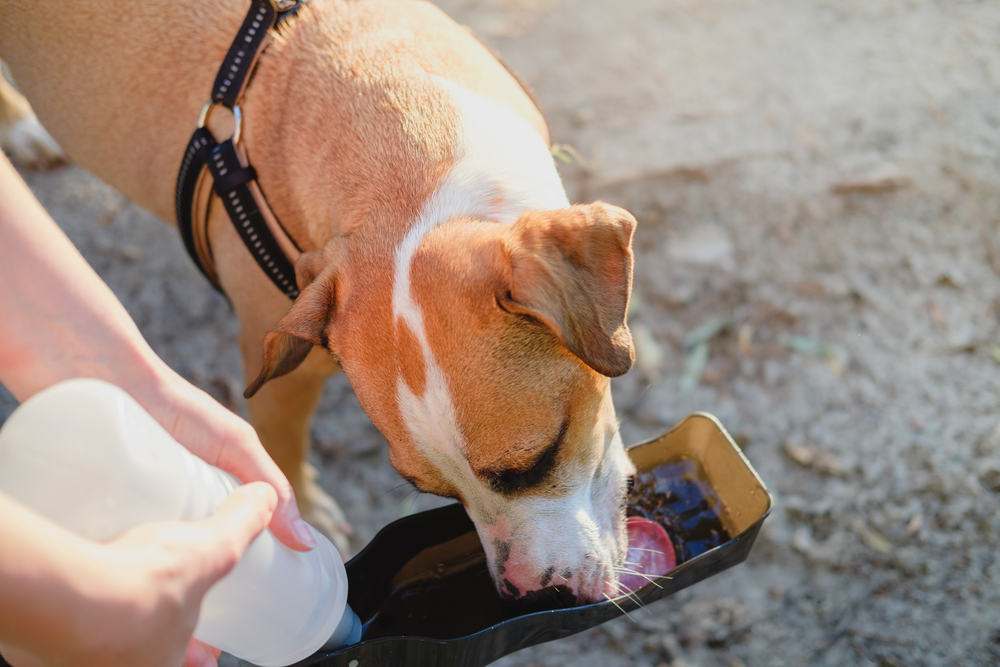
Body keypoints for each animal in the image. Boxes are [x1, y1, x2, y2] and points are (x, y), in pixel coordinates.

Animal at [0, 0, 636, 604]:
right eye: (433, 492)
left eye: (540, 460)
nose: (530, 595)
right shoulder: (281, 379)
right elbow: (281, 454)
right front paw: (302, 516)